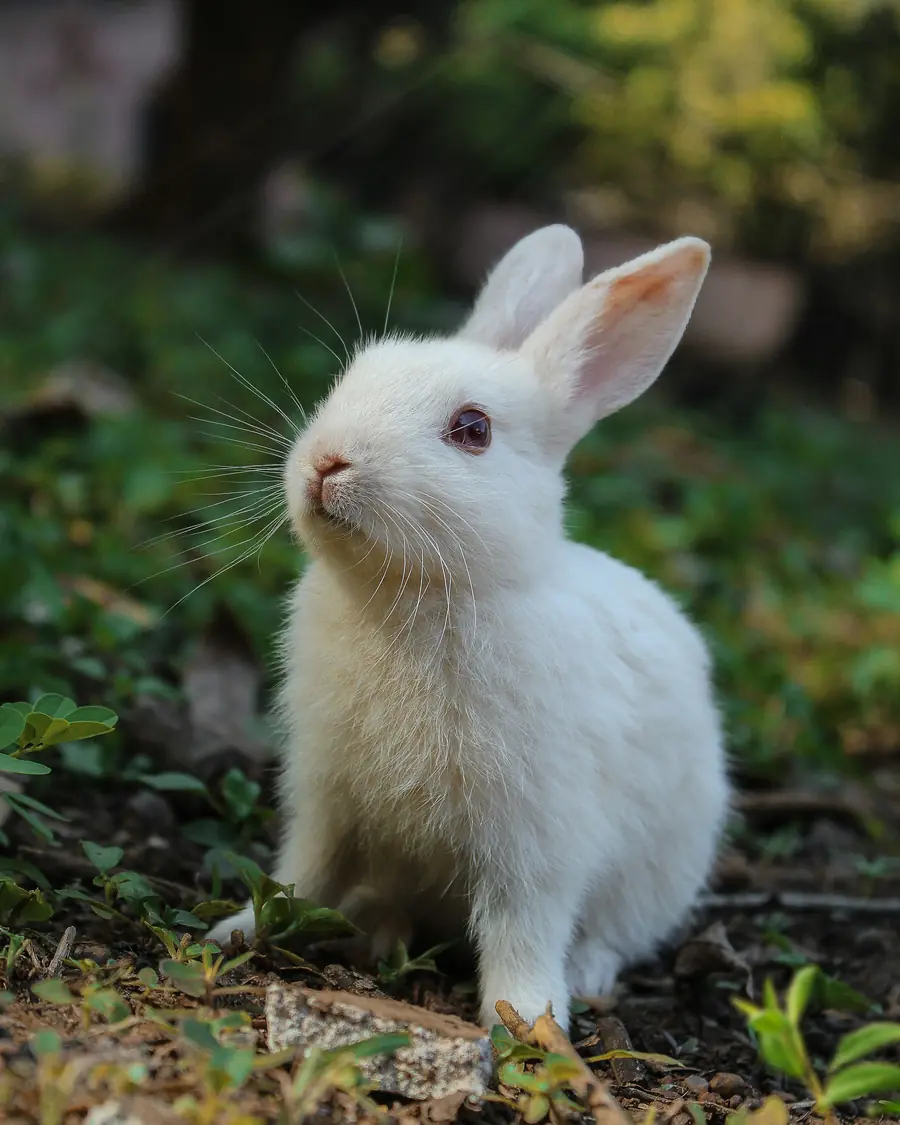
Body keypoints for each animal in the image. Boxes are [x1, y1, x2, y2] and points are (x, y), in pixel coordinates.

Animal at [208, 225, 731, 1031]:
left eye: (473, 429)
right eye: (351, 377)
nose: (327, 462)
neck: (416, 597)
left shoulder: (536, 838)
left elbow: (523, 927)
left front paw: (528, 1021)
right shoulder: (326, 798)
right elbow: (303, 872)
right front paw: (239, 929)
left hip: (660, 868)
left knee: (614, 932)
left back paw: (586, 975)